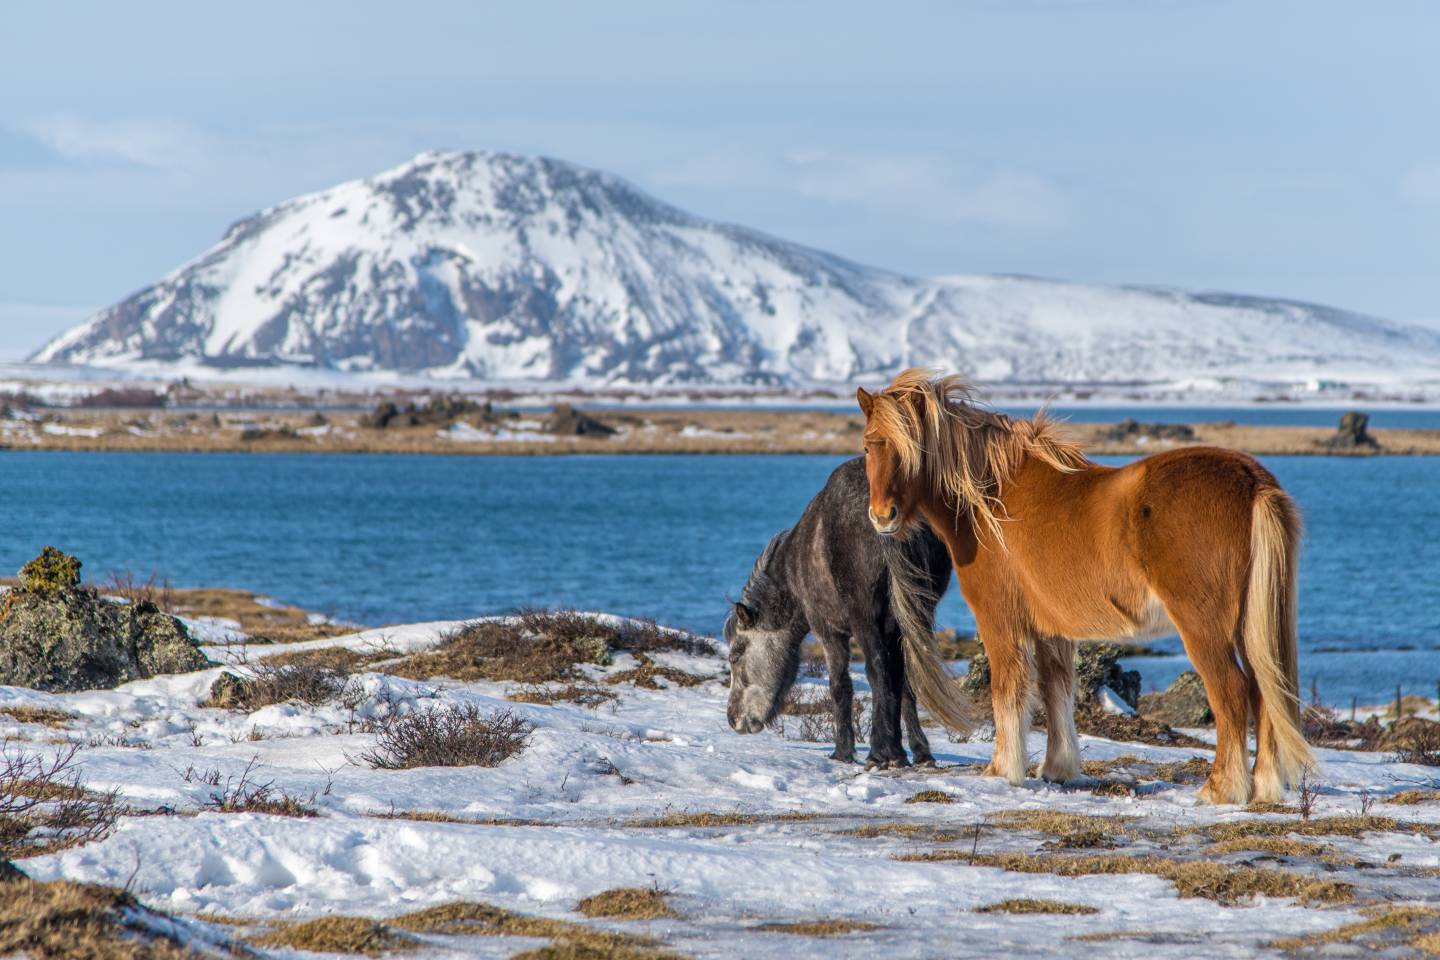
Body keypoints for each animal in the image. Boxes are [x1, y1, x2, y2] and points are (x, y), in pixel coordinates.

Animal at [725, 460, 973, 771]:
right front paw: (910, 752)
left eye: (736, 656)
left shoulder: (829, 630)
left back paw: (878, 752)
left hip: (864, 618)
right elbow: (901, 684)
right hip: (916, 614)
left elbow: (841, 686)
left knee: (876, 671)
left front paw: (844, 751)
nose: (733, 719)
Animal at [858, 368, 1313, 805]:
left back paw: (1221, 789)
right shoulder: (1051, 630)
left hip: (1204, 628)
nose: (882, 516)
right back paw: (1265, 788)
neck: (990, 500)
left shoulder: (1000, 622)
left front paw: (1002, 770)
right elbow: (1057, 690)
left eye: (911, 448)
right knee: (1265, 692)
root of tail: (1252, 481)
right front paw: (1057, 768)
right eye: (868, 446)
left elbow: (1007, 692)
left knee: (1233, 693)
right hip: (1248, 626)